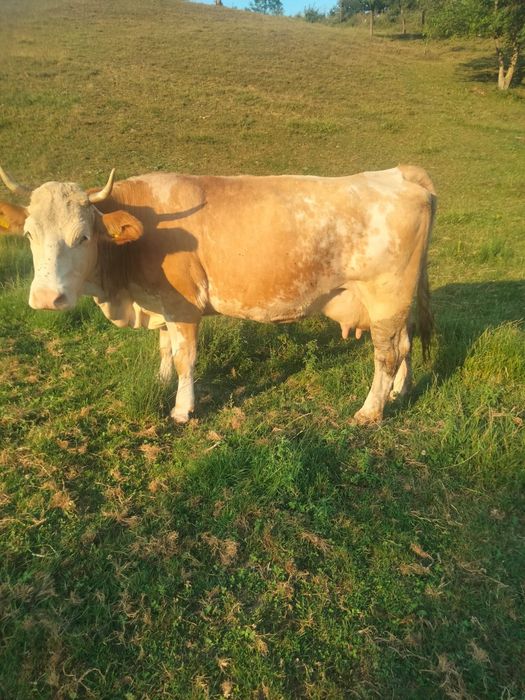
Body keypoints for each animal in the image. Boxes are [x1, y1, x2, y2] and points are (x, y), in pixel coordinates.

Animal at [0, 164, 435, 426]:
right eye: (29, 235)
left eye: (83, 237)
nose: (46, 298)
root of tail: (400, 174)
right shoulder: (161, 303)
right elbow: (164, 347)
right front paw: (161, 380)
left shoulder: (183, 305)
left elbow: (185, 359)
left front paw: (181, 408)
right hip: (398, 302)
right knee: (406, 342)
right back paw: (400, 390)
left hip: (386, 296)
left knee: (387, 354)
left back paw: (371, 410)